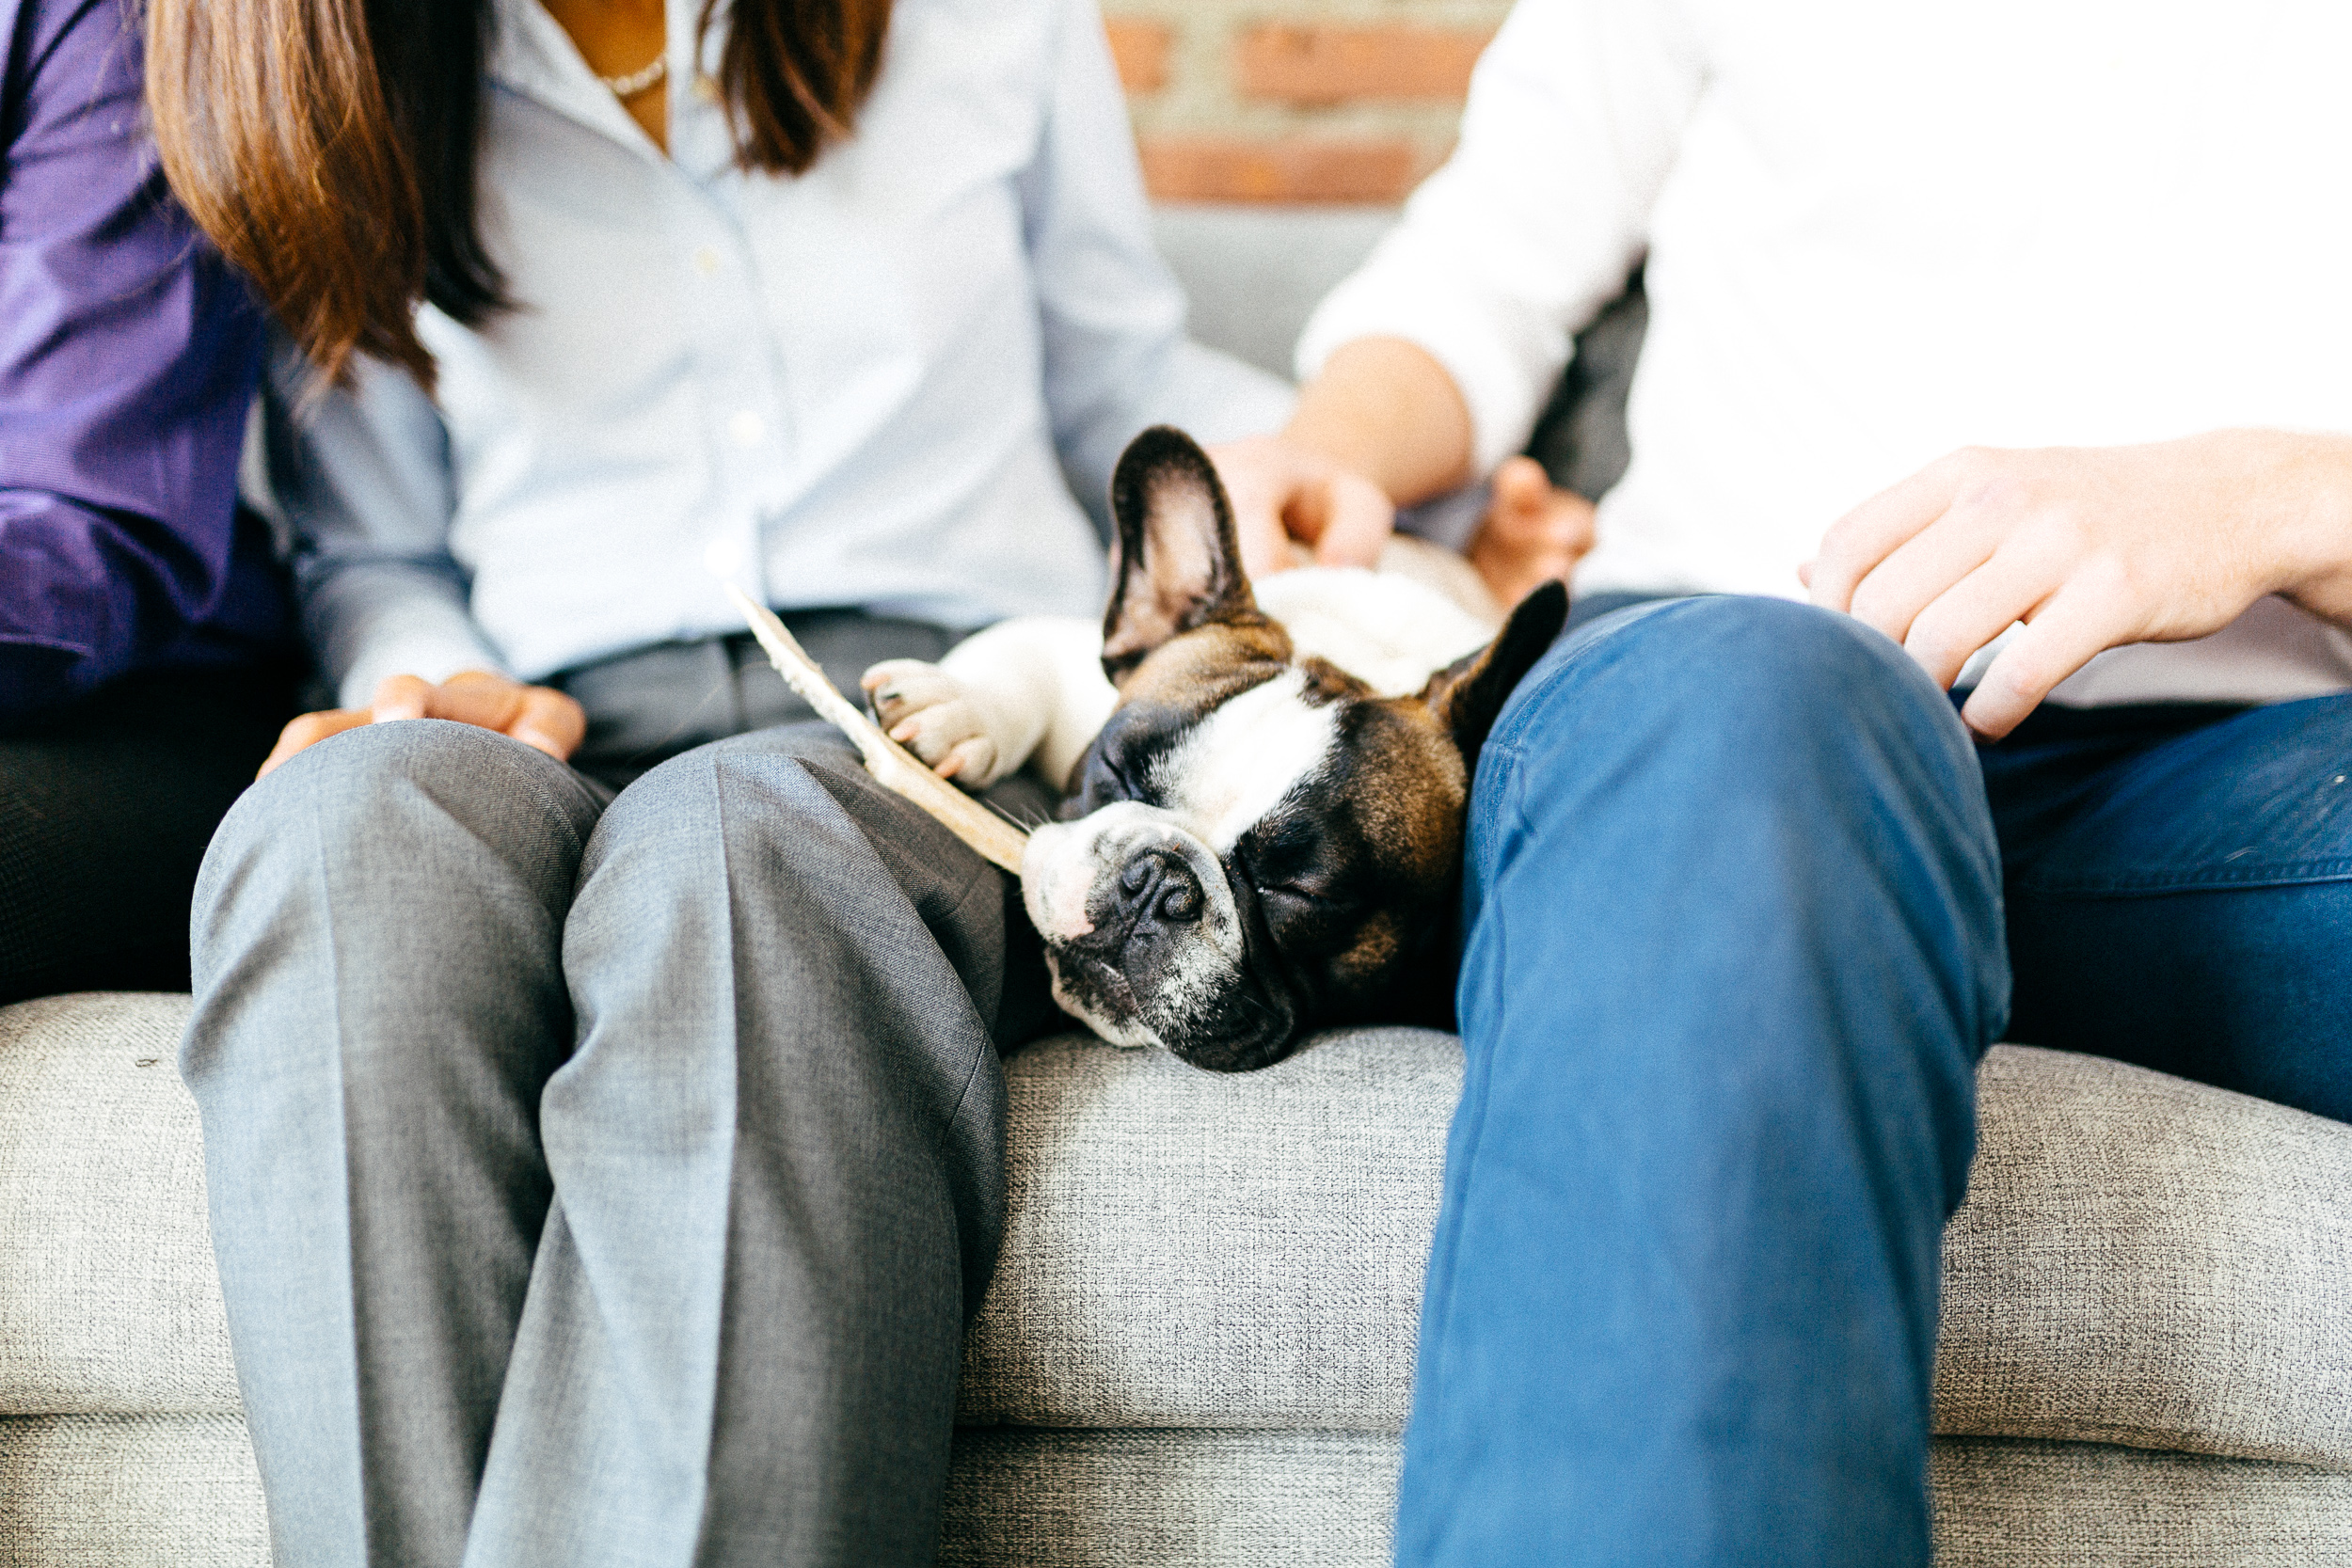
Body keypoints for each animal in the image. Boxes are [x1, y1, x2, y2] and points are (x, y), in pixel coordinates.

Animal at [862, 427, 1566, 1072]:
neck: (1366, 646)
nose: (1153, 886)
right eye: (1117, 770)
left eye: (1300, 891)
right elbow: (1019, 653)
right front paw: (955, 703)